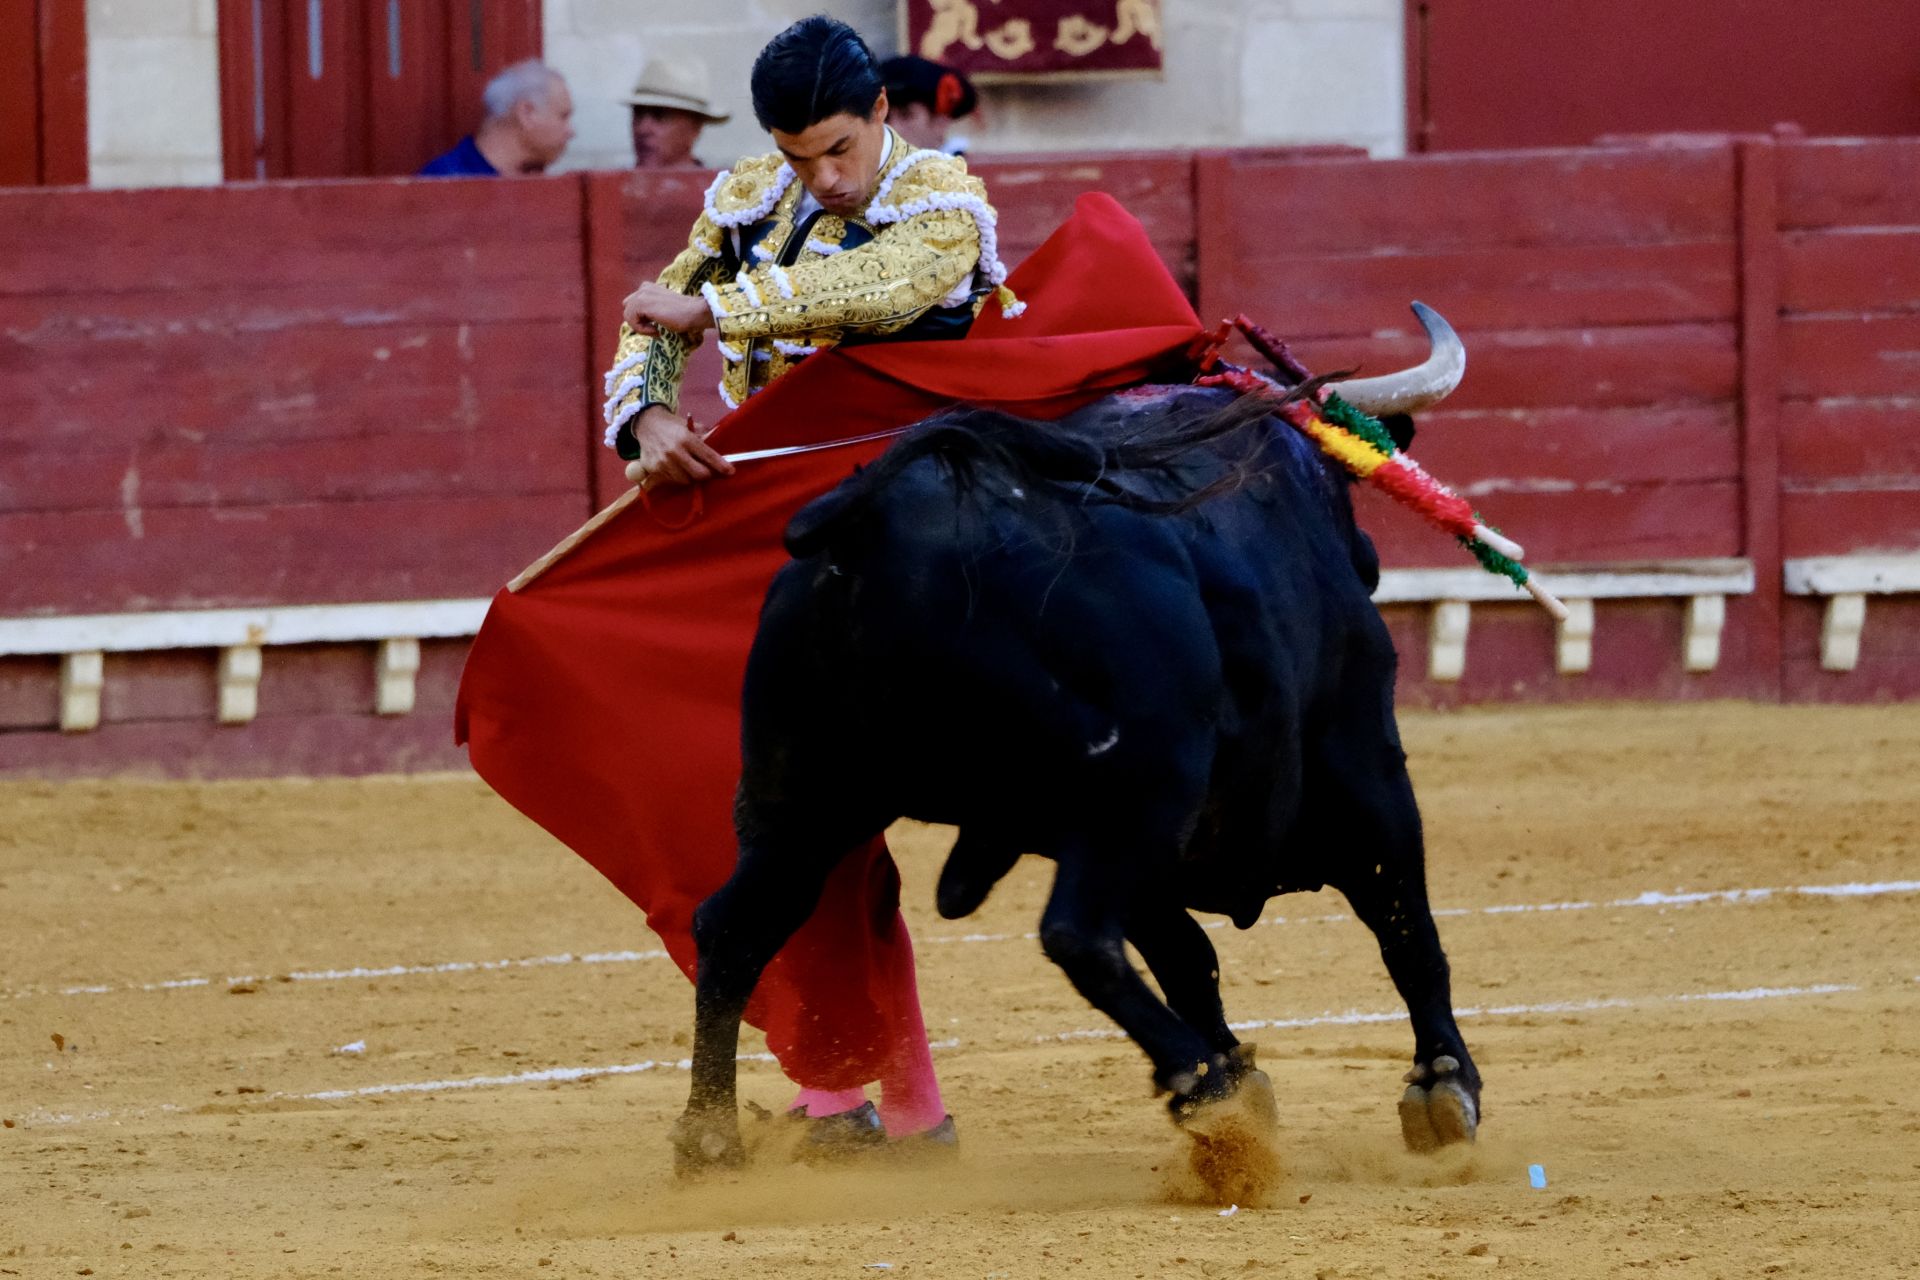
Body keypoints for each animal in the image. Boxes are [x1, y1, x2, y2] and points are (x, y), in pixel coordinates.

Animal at [675, 372, 1482, 1174]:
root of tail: (886, 525)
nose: (1371, 556)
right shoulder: (1362, 760)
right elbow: (1406, 927)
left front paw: (1243, 1073)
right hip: (1136, 793)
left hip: (803, 798)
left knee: (733, 928)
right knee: (1077, 935)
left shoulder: (1153, 848)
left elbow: (1189, 956)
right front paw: (1442, 1085)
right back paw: (1201, 1088)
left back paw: (710, 1141)